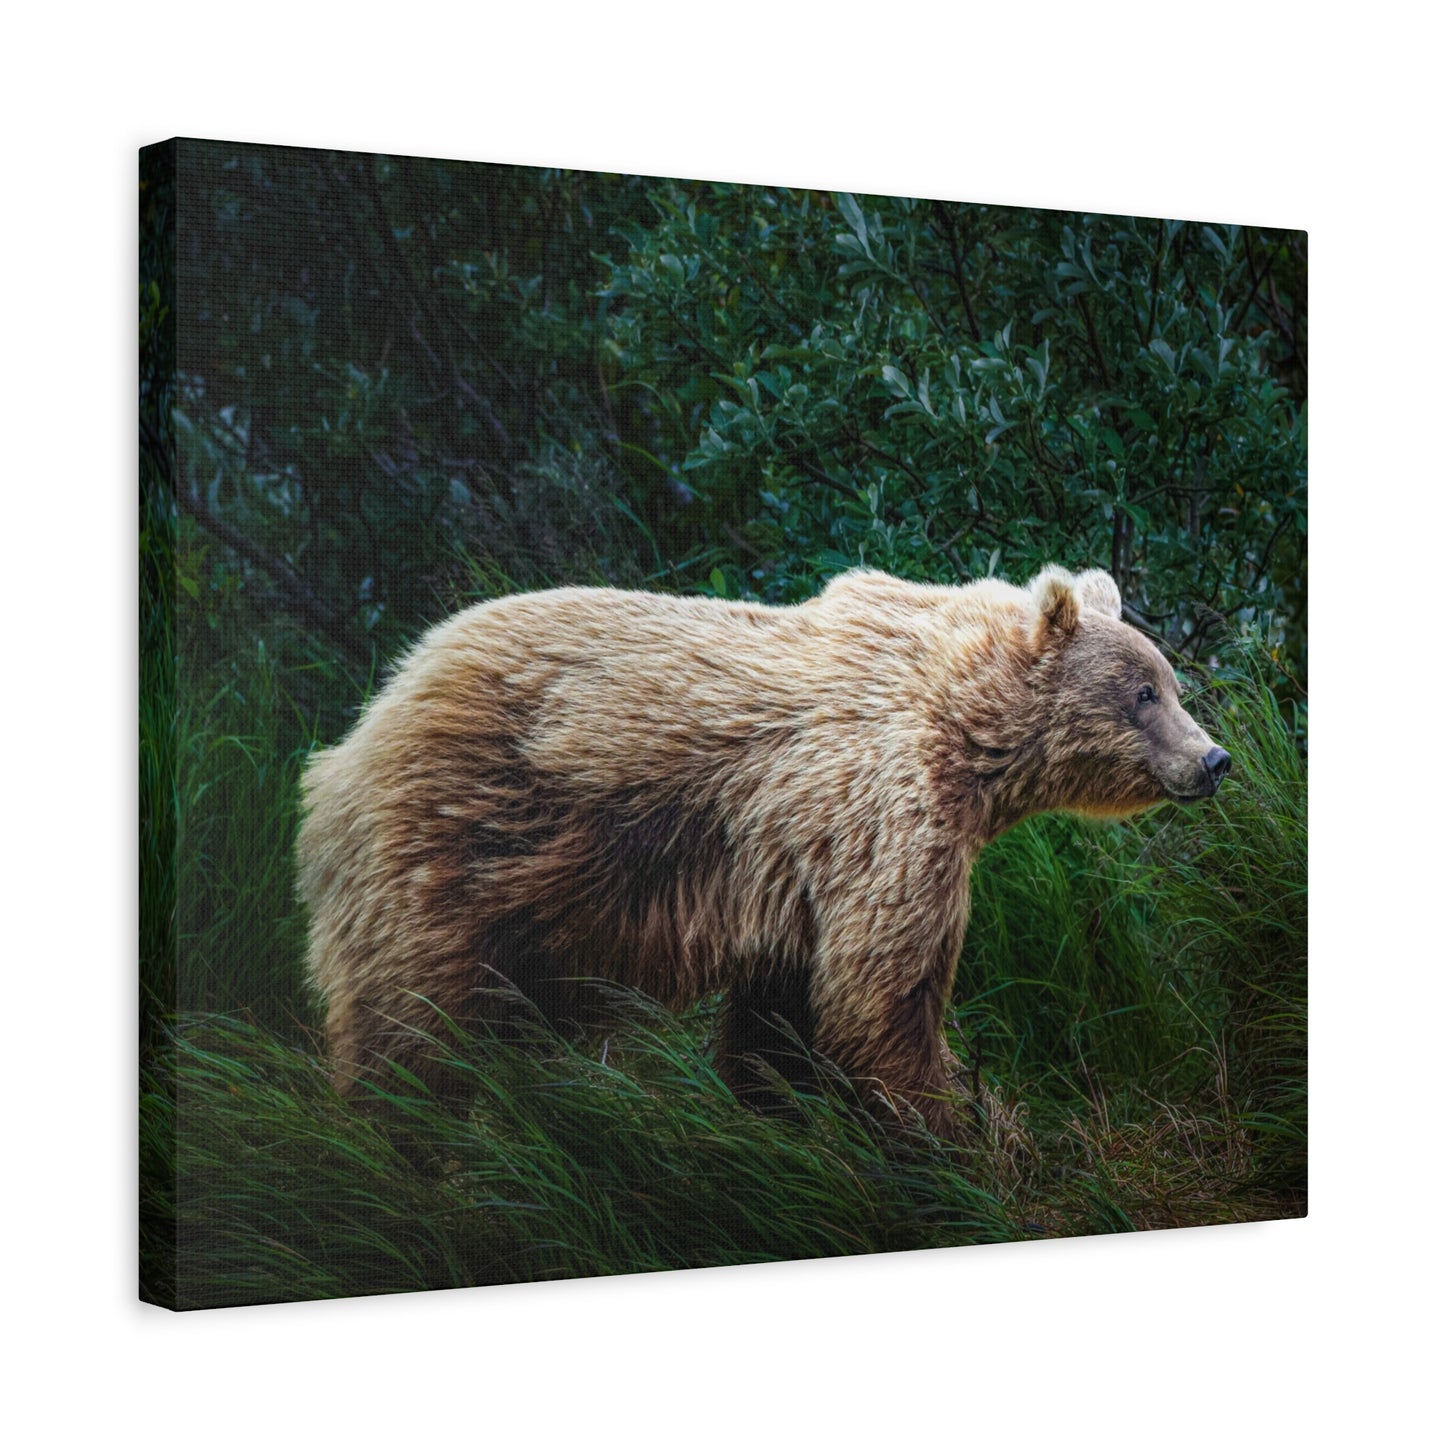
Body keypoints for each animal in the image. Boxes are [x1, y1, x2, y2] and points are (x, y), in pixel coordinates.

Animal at [297, 565, 1231, 1140]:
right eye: (1142, 692)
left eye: (1170, 681)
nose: (1213, 759)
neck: (970, 738)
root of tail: (358, 729)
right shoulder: (886, 817)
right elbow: (885, 994)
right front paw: (956, 1123)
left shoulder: (796, 873)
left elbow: (782, 1017)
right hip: (455, 847)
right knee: (411, 1025)